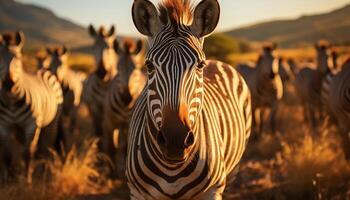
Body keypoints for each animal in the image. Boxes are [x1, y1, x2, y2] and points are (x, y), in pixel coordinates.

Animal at [0, 30, 63, 181]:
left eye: (17, 57)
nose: (8, 84)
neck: (12, 101)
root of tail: (44, 70)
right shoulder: (4, 125)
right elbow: (7, 154)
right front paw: (8, 179)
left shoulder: (31, 124)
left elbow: (28, 152)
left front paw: (27, 180)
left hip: (52, 122)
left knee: (47, 146)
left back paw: (45, 172)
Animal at [101, 38, 146, 177]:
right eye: (118, 69)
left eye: (136, 69)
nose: (126, 98)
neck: (123, 107)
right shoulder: (109, 123)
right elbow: (110, 146)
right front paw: (110, 171)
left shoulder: (127, 124)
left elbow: (125, 146)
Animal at [127, 0, 250, 198]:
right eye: (149, 65)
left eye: (200, 65)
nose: (175, 140)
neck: (172, 168)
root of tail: (218, 61)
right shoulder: (136, 192)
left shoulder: (213, 190)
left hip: (234, 166)